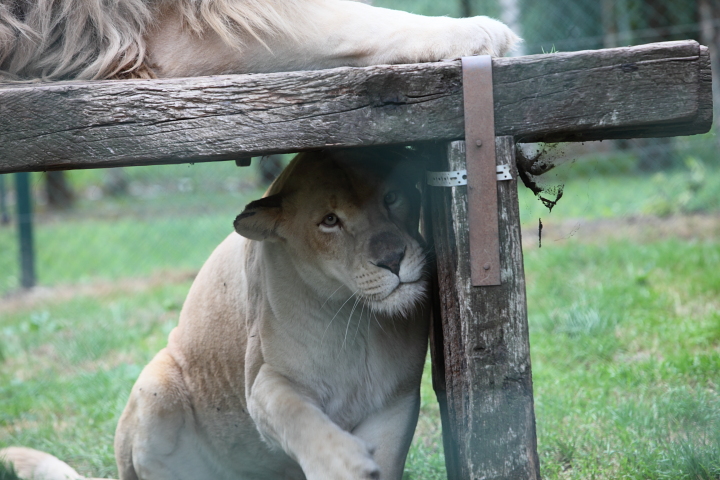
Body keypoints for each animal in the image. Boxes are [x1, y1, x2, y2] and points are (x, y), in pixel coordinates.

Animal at [2, 146, 431, 480]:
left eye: (392, 197)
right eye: (330, 220)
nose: (392, 259)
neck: (358, 320)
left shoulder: (397, 400)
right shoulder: (264, 381)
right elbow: (300, 419)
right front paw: (344, 463)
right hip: (156, 383)